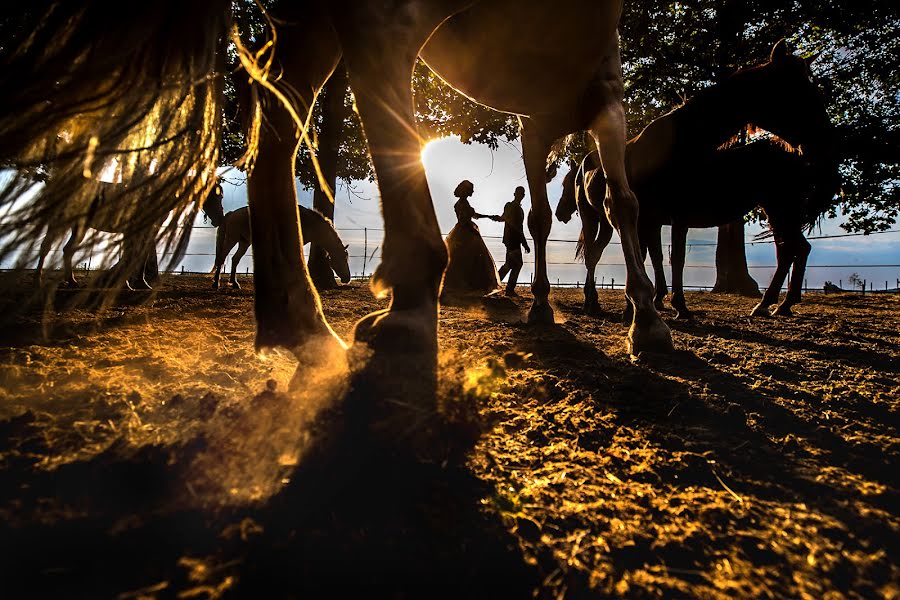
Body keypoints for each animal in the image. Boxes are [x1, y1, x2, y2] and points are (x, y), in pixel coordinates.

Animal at [35, 179, 225, 290]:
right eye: (217, 196)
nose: (219, 219)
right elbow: (134, 256)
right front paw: (134, 284)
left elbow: (137, 256)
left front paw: (138, 283)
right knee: (48, 247)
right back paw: (40, 280)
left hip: (76, 227)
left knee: (66, 249)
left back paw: (71, 281)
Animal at [206, 204, 354, 290]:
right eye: (342, 258)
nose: (347, 278)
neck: (307, 222)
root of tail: (231, 214)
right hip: (232, 239)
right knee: (221, 258)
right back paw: (216, 284)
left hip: (244, 242)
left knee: (235, 259)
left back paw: (234, 283)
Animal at [552, 40, 840, 318]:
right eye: (798, 90)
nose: (826, 143)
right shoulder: (655, 219)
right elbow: (657, 256)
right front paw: (656, 304)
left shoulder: (668, 217)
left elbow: (666, 257)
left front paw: (665, 304)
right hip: (594, 217)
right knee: (593, 254)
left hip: (779, 209)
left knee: (792, 249)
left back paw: (775, 304)